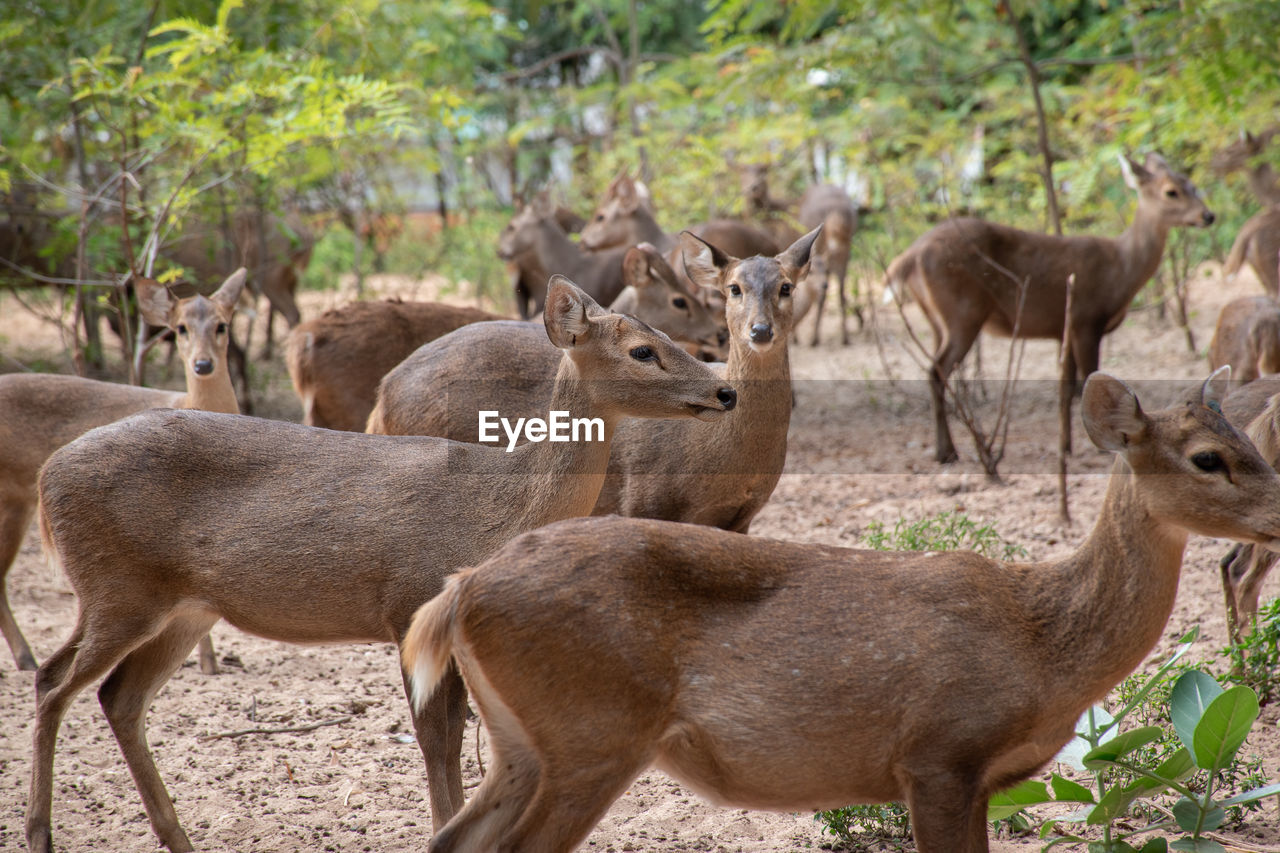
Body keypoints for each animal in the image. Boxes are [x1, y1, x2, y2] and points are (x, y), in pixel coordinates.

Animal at [24, 274, 737, 850]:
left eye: (666, 330)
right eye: (642, 349)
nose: (726, 389)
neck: (500, 509)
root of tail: (47, 478)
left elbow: (455, 739)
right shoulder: (408, 605)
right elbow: (434, 739)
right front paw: (441, 827)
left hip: (185, 608)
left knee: (119, 696)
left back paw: (178, 838)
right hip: (116, 587)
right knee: (54, 681)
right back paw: (41, 833)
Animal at [368, 225, 819, 532]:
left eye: (787, 286)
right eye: (733, 288)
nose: (758, 331)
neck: (732, 459)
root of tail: (383, 394)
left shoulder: (742, 517)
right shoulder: (647, 503)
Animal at [404, 366, 1280, 850]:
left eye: (1252, 441)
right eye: (1209, 458)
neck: (1043, 641)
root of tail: (460, 589)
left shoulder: (975, 776)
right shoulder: (939, 751)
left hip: (525, 742)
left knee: (453, 840)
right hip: (593, 730)